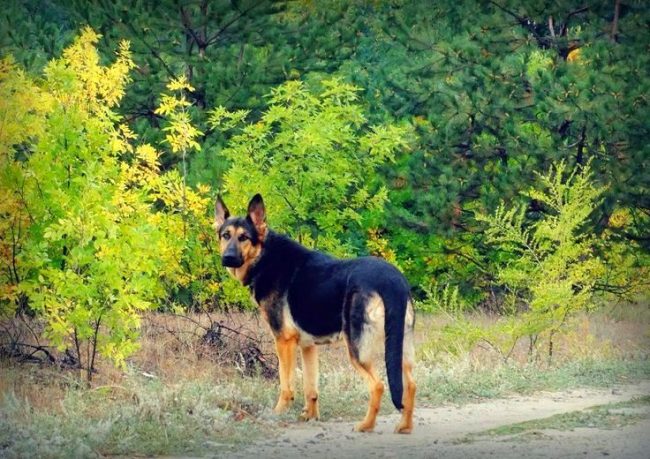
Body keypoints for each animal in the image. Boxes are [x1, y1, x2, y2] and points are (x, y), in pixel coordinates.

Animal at [214, 194, 416, 434]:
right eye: (226, 235)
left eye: (244, 237)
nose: (227, 257)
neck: (264, 256)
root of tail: (392, 279)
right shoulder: (308, 347)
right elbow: (311, 387)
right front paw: (310, 416)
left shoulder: (284, 341)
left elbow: (286, 384)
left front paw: (278, 413)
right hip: (399, 346)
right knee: (411, 384)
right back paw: (404, 426)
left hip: (358, 349)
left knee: (378, 385)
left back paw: (366, 425)